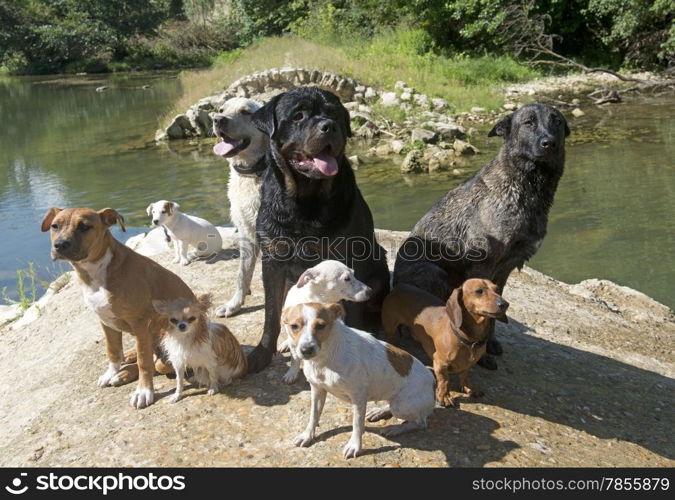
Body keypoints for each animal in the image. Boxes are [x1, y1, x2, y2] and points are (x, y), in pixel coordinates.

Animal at [214, 97, 272, 316]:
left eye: (246, 112)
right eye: (221, 109)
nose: (218, 119)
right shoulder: (246, 232)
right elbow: (242, 274)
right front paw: (234, 304)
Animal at [247, 86, 390, 374]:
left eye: (334, 114)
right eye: (298, 115)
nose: (329, 126)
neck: (306, 199)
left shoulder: (352, 254)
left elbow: (352, 309)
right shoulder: (273, 259)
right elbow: (271, 313)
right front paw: (263, 352)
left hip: (379, 262)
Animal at [394, 103, 568, 370]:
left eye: (556, 121)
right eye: (528, 122)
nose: (549, 143)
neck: (525, 187)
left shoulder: (504, 271)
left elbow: (495, 313)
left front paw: (491, 343)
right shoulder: (481, 266)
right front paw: (481, 354)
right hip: (435, 274)